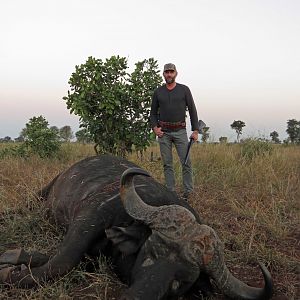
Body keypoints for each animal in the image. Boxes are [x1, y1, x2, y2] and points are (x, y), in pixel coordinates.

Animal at [0, 156, 272, 298]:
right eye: (151, 252)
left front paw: (15, 259)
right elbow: (62, 261)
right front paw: (10, 270)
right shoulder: (88, 220)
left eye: (182, 281)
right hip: (41, 195)